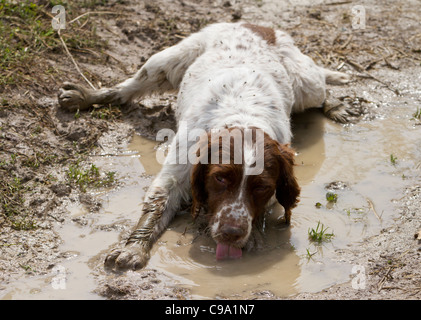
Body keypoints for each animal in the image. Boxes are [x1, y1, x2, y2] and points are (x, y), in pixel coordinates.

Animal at [57, 21, 350, 270]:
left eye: (262, 187)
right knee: (125, 89)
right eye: (220, 178)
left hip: (306, 85)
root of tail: (258, 25)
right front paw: (133, 248)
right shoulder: (177, 169)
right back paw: (84, 96)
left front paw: (254, 234)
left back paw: (336, 106)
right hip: (167, 61)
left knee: (322, 89)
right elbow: (156, 207)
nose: (231, 233)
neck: (241, 117)